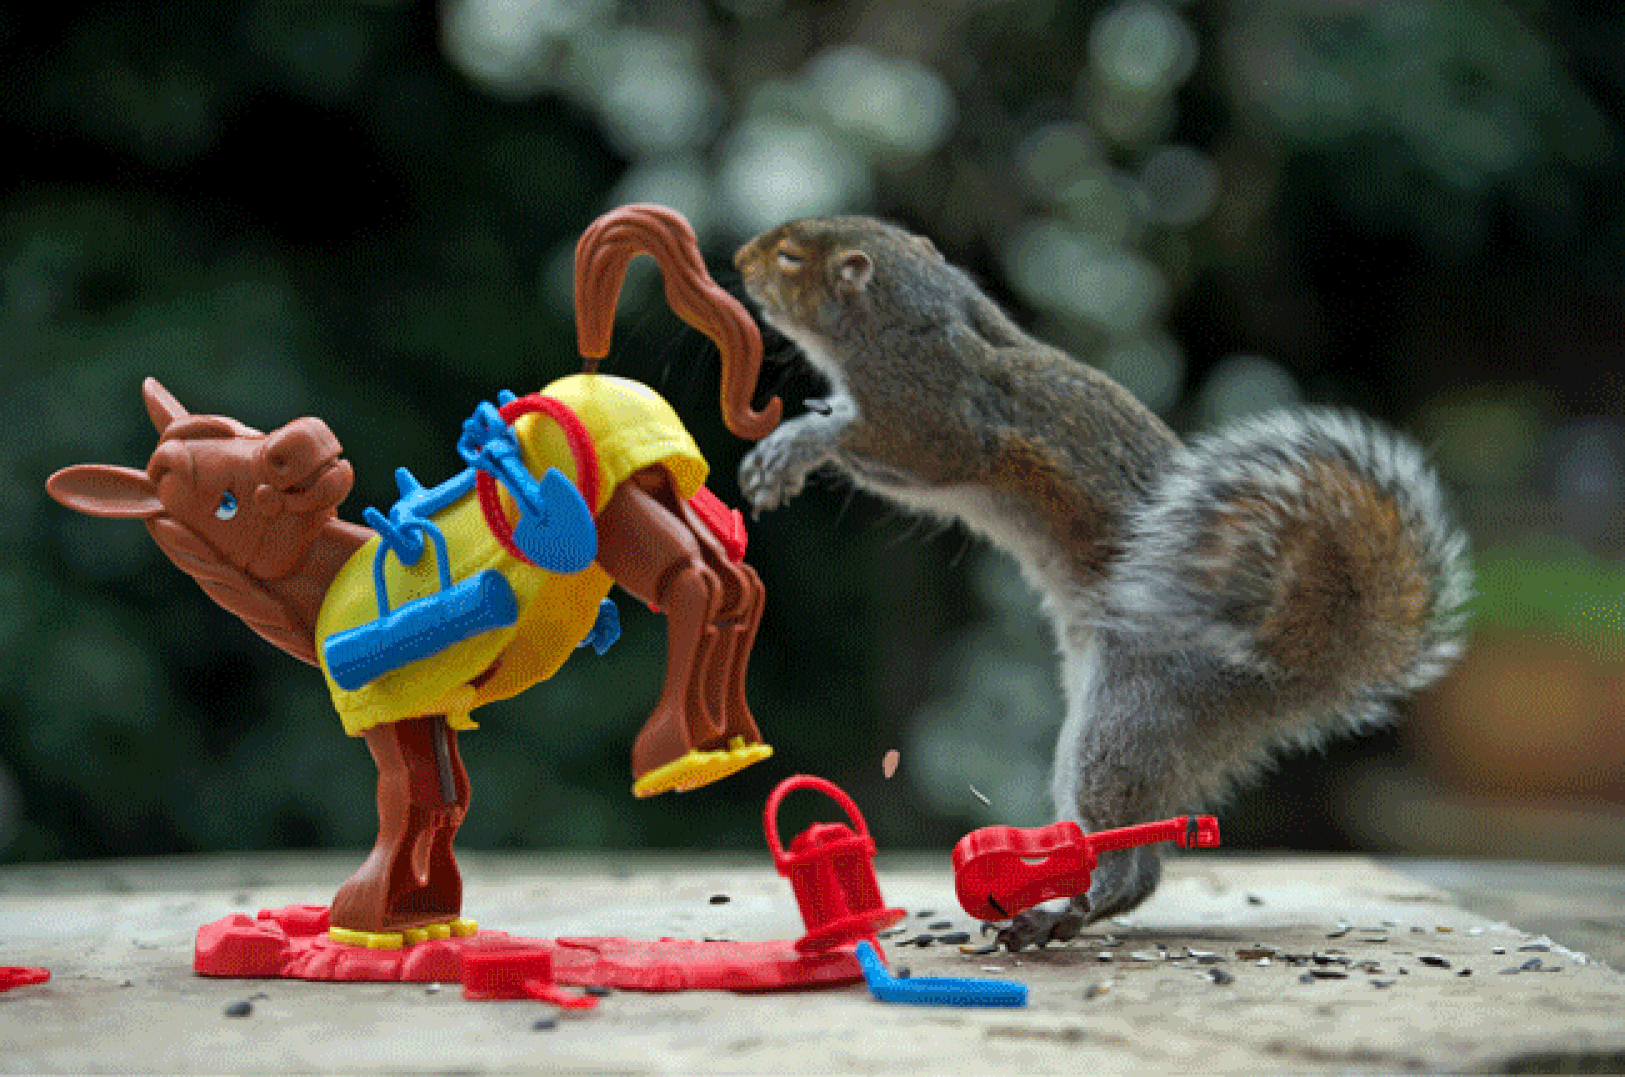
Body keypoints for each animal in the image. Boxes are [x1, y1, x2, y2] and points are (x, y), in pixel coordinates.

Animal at [733, 216, 1473, 949]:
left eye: (791, 257)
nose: (740, 260)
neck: (907, 319)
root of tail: (1265, 688)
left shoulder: (932, 415)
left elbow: (905, 445)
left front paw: (800, 442)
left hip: (1127, 722)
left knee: (1128, 860)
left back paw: (1060, 914)